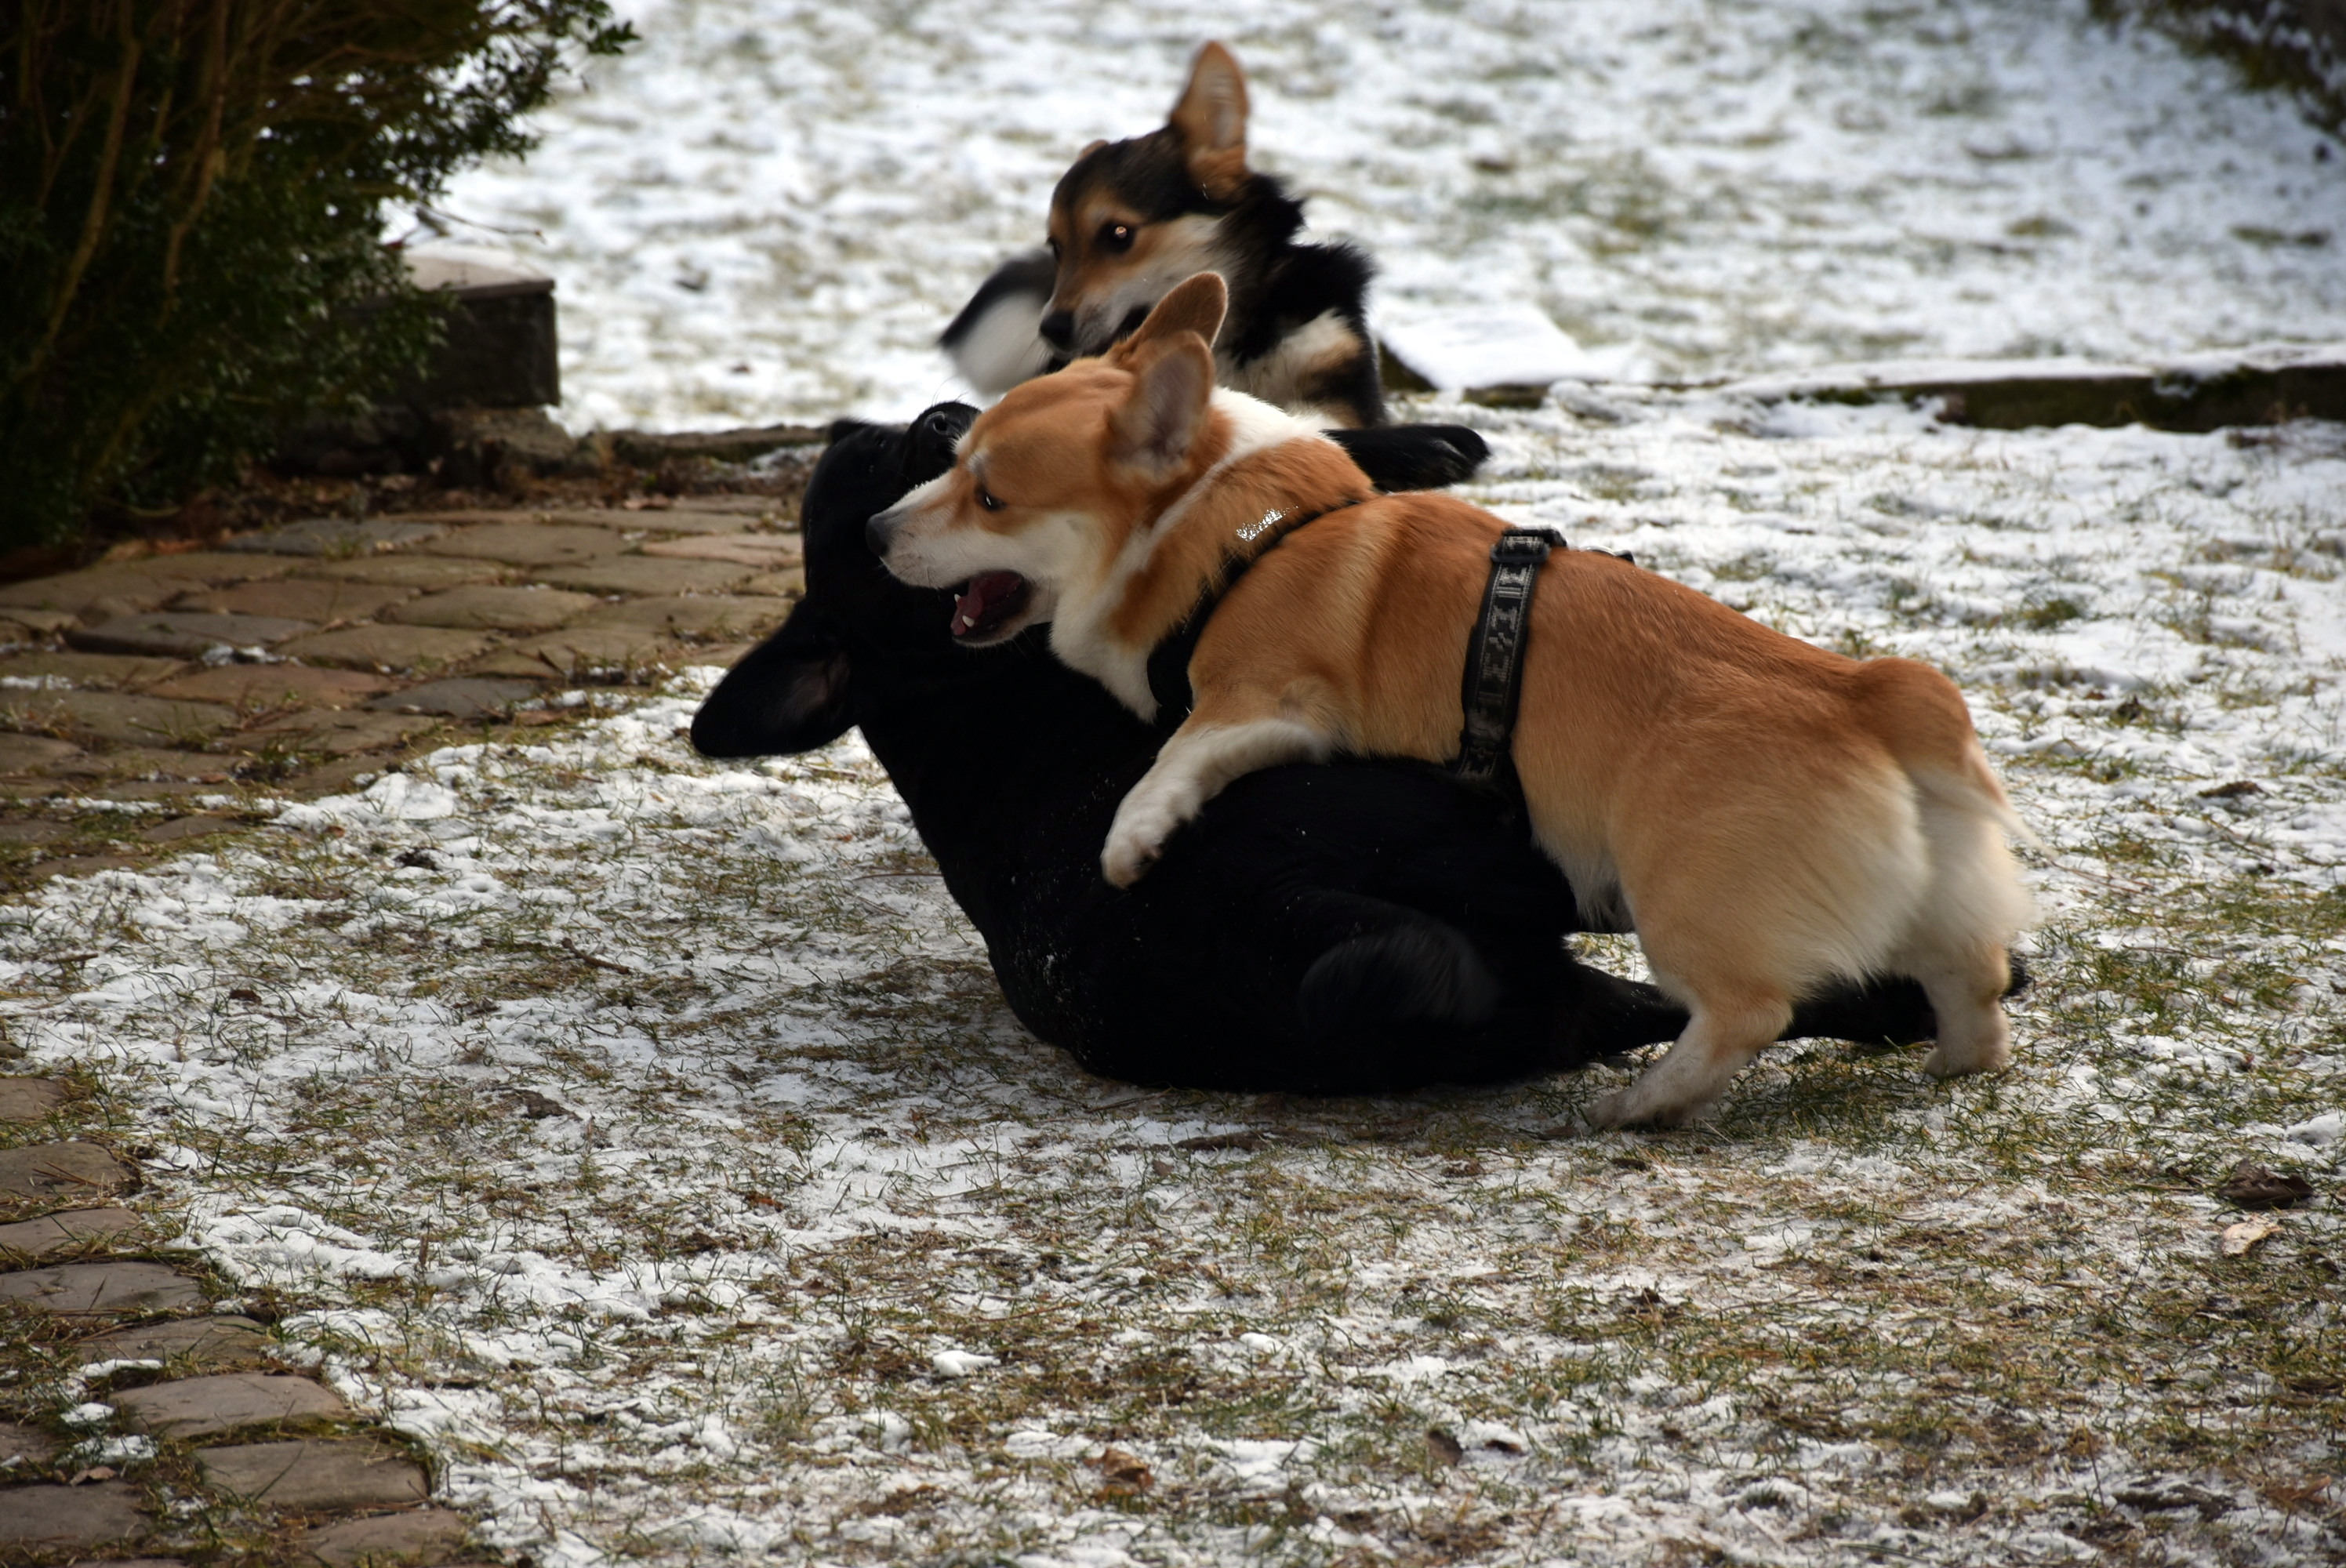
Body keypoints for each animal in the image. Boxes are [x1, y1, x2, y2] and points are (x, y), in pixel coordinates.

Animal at [863, 272, 2036, 1127]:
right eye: (955, 458)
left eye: (990, 494)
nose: (875, 530)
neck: (1228, 528)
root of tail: (1875, 700)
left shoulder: (1267, 701)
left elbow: (1177, 755)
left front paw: (1131, 841)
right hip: (1937, 901)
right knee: (1971, 977)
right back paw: (1958, 1062)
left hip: (1679, 902)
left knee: (1747, 1011)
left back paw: (1639, 1104)